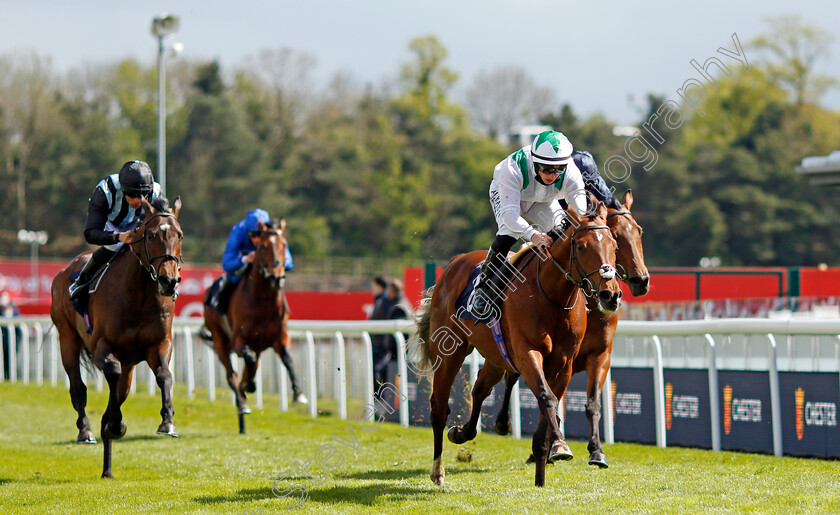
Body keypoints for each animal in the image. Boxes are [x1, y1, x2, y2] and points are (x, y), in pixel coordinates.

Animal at [50, 198, 182, 480]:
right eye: (150, 234)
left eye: (180, 235)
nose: (169, 281)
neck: (139, 294)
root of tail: (66, 269)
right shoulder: (102, 346)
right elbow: (111, 371)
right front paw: (115, 423)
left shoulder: (160, 344)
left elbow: (164, 376)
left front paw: (168, 422)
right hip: (67, 338)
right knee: (77, 387)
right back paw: (86, 430)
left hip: (129, 363)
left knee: (120, 390)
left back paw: (107, 466)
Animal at [203, 219, 306, 436]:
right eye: (264, 247)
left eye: (284, 245)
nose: (276, 277)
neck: (262, 301)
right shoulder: (239, 339)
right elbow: (246, 362)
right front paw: (248, 387)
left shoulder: (280, 337)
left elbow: (288, 359)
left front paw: (298, 393)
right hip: (219, 339)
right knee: (231, 375)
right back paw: (242, 403)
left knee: (249, 368)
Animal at [414, 201, 624, 488]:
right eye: (581, 246)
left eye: (614, 245)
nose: (610, 295)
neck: (552, 297)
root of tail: (454, 263)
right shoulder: (527, 352)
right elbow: (546, 398)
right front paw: (559, 443)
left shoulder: (564, 364)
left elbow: (549, 406)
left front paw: (544, 471)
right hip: (450, 352)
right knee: (439, 406)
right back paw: (438, 471)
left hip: (495, 355)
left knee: (480, 389)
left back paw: (462, 432)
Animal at [486, 188, 648, 468]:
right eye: (617, 235)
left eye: (638, 231)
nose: (642, 280)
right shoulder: (554, 357)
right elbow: (551, 396)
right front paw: (555, 445)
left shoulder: (599, 355)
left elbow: (592, 403)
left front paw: (596, 450)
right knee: (510, 377)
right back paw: (505, 423)